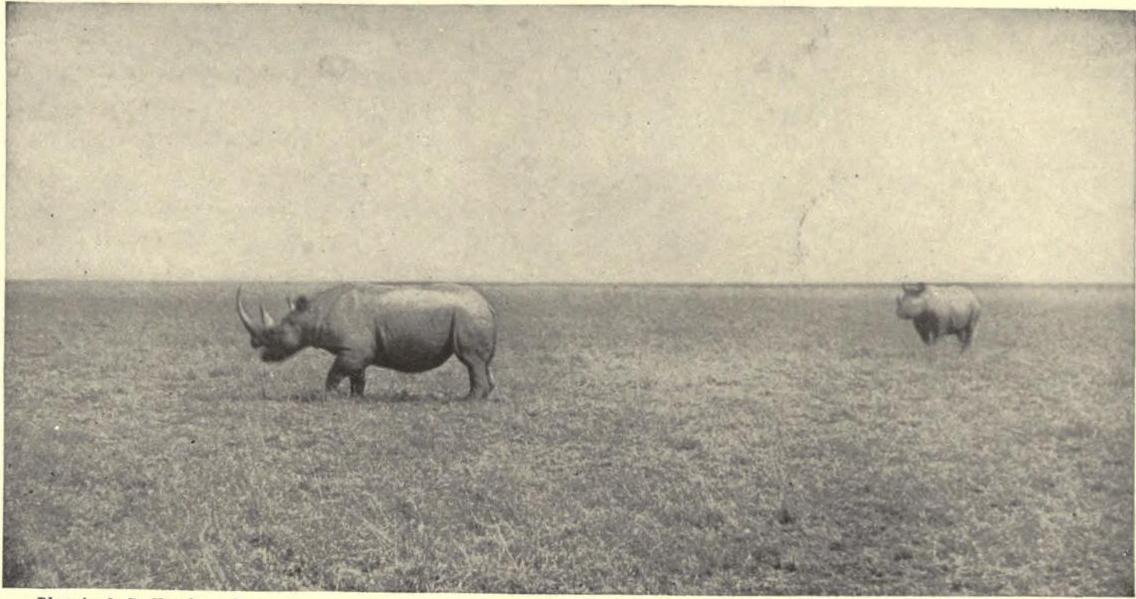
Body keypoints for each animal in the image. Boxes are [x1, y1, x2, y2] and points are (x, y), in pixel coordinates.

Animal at [237, 283, 497, 400]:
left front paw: (328, 397)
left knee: (471, 360)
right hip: (470, 314)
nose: (255, 347)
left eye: (273, 334)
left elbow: (335, 373)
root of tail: (488, 304)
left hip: (467, 316)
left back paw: (468, 400)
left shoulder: (353, 350)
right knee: (481, 363)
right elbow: (357, 375)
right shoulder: (357, 351)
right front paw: (357, 398)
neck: (313, 314)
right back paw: (481, 396)